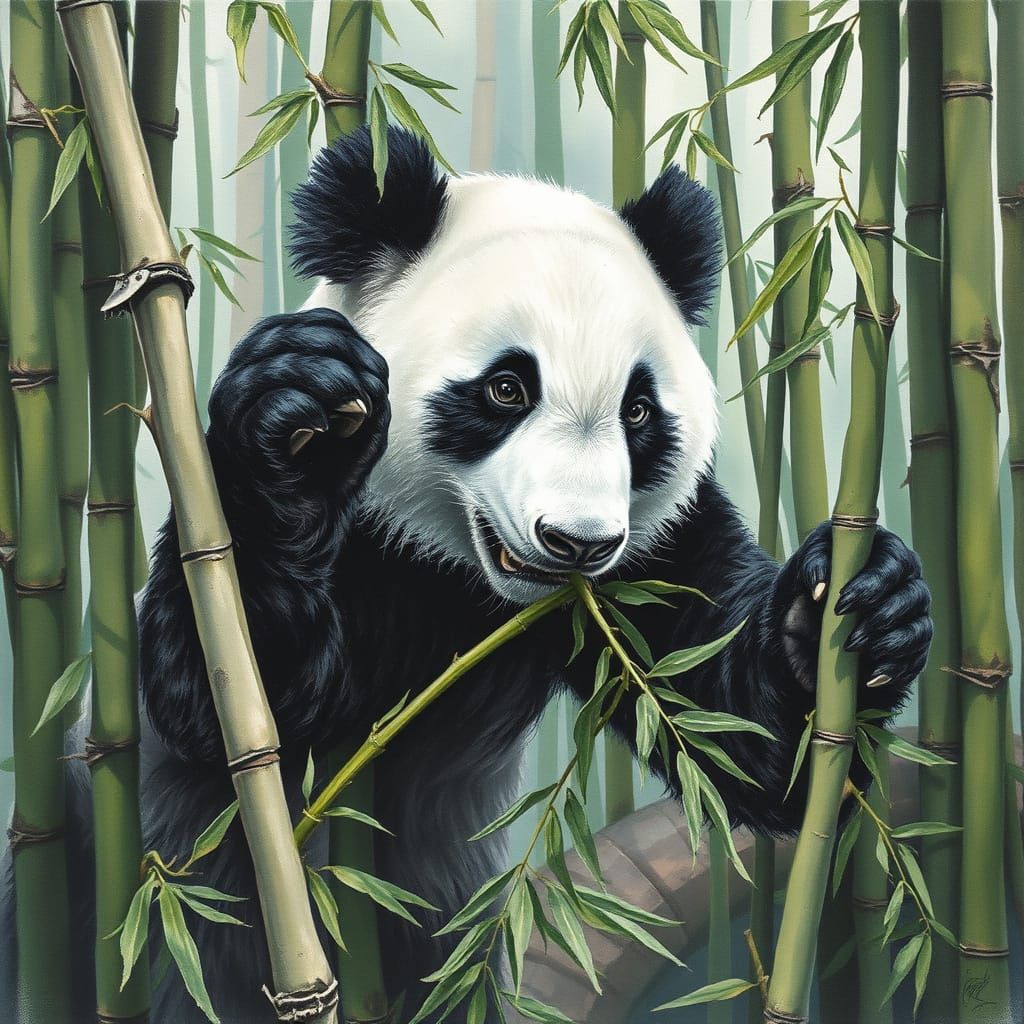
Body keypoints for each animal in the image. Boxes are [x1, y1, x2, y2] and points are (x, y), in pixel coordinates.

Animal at [2, 126, 931, 1024]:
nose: (578, 542)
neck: (461, 573)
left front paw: (860, 606)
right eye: (506, 389)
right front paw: (296, 422)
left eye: (638, 411)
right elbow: (232, 698)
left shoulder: (656, 554)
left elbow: (739, 732)